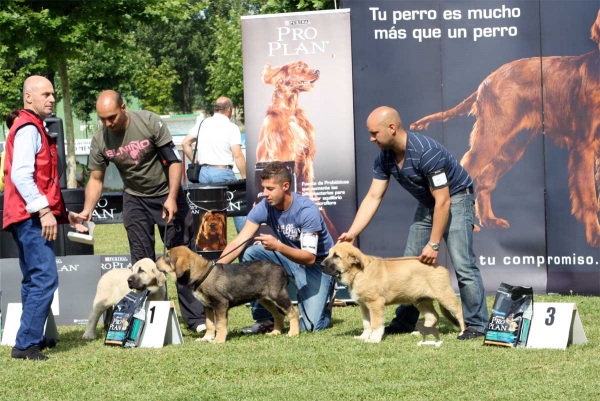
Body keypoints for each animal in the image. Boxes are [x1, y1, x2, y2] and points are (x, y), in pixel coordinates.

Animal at [157, 245, 300, 342]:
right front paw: (206, 338)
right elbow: (210, 324)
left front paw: (218, 340)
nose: (156, 259)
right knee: (279, 315)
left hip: (278, 295)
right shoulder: (208, 306)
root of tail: (282, 269)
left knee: (293, 312)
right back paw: (275, 332)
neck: (202, 274)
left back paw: (293, 332)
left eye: (167, 257)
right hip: (265, 299)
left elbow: (220, 324)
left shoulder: (220, 304)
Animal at [322, 242, 466, 342]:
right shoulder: (363, 305)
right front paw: (363, 337)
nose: (321, 265)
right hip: (420, 300)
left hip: (444, 295)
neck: (358, 272)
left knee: (459, 311)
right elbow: (367, 323)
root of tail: (443, 268)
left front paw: (374, 339)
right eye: (328, 254)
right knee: (432, 316)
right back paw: (420, 332)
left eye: (336, 256)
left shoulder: (375, 303)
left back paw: (463, 332)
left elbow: (375, 323)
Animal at [410, 10, 600, 247]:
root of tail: (486, 81)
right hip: (492, 137)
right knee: (467, 172)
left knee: (484, 181)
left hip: (512, 145)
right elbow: (590, 198)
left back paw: (490, 221)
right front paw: (595, 235)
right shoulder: (585, 145)